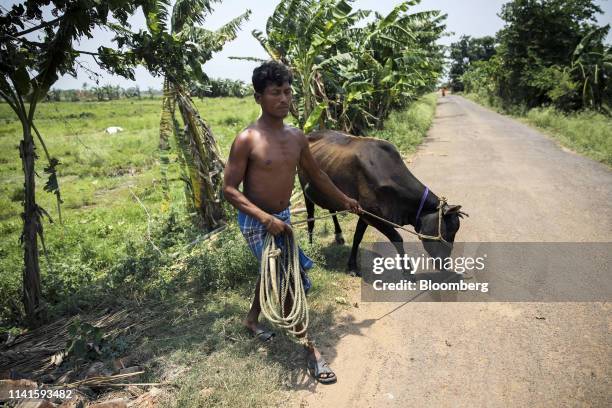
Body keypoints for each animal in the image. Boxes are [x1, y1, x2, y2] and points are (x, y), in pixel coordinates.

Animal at [296, 131, 464, 274]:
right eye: (447, 232)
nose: (446, 264)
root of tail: (309, 134)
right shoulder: (372, 215)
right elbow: (397, 238)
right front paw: (407, 270)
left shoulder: (364, 212)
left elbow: (357, 237)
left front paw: (352, 265)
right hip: (306, 192)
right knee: (310, 219)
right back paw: (311, 247)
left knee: (331, 209)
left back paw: (338, 235)